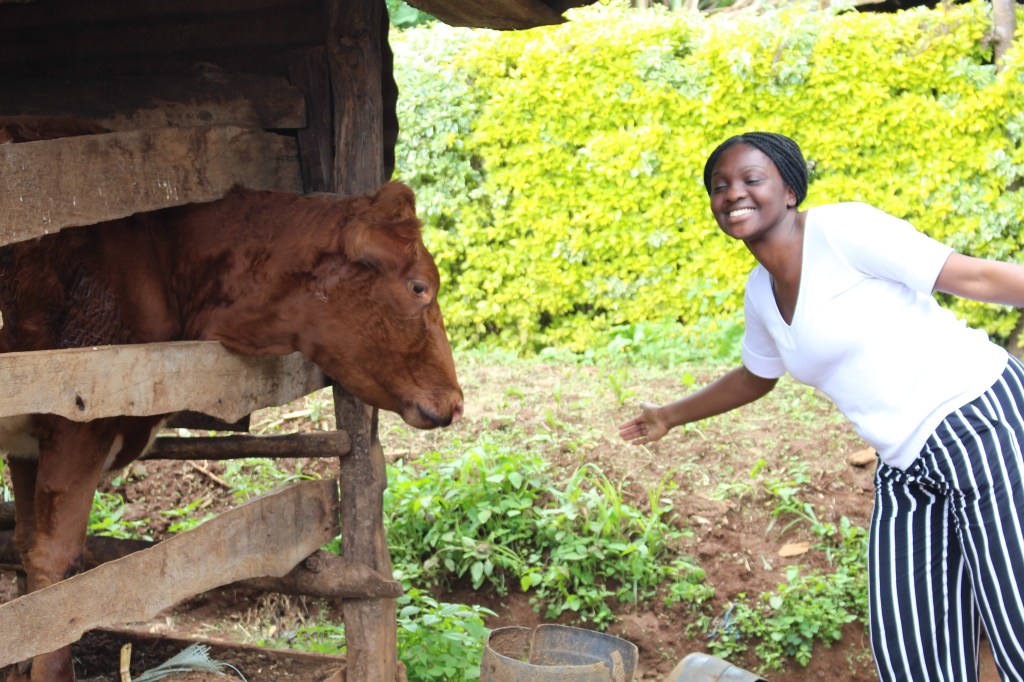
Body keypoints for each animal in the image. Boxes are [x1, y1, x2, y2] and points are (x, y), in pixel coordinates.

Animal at [0, 120, 464, 682]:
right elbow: (57, 578)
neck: (162, 259)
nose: (455, 400)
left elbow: (25, 551)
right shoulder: (78, 419)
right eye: (419, 287)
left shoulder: (28, 439)